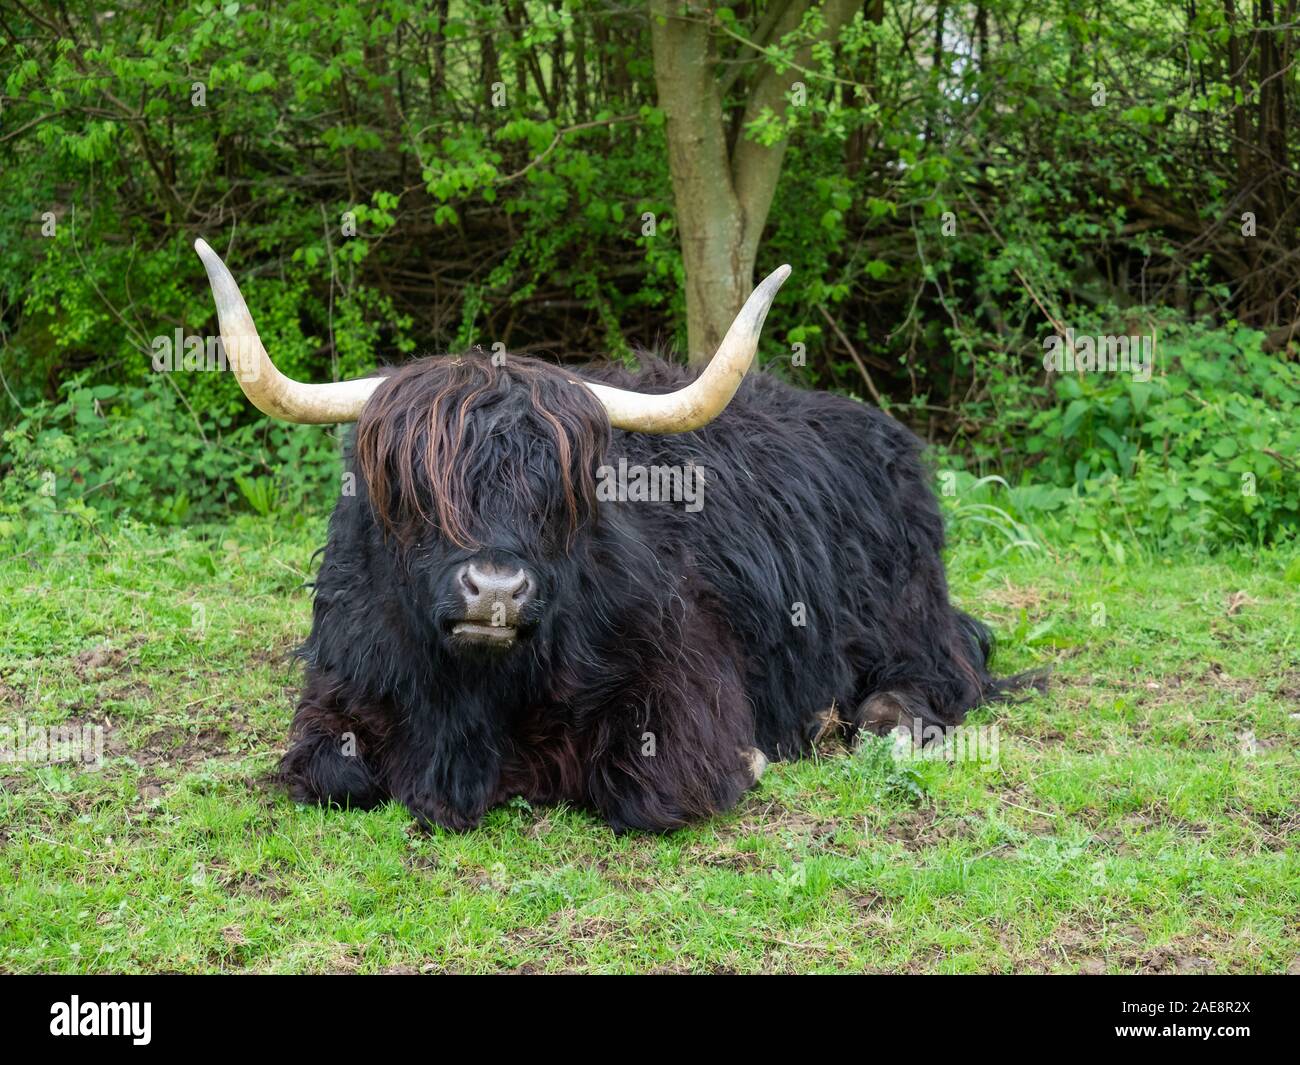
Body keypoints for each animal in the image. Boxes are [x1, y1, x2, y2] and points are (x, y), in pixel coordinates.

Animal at [195, 239, 1036, 833]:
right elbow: (330, 774)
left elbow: (649, 787)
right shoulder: (337, 689)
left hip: (907, 613)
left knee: (941, 673)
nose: (496, 590)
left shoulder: (683, 691)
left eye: (559, 492)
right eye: (414, 488)